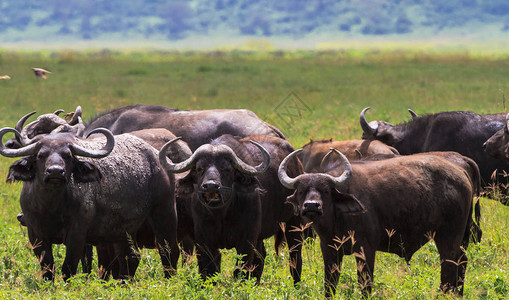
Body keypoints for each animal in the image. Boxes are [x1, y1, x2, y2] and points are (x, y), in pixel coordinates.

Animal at [0, 127, 179, 280]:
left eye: (68, 156)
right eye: (41, 155)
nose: (56, 171)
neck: (51, 208)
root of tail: (158, 158)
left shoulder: (77, 234)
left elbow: (69, 267)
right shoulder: (35, 235)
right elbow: (47, 268)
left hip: (164, 213)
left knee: (168, 251)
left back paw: (169, 280)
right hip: (125, 230)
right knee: (131, 257)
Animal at [159, 134, 304, 284]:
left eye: (226, 169)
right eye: (199, 168)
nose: (211, 186)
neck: (222, 214)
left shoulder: (247, 240)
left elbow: (241, 271)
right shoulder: (203, 241)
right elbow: (210, 271)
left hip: (294, 224)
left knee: (295, 257)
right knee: (261, 256)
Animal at [278, 148, 476, 296]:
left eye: (326, 190)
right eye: (301, 190)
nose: (312, 205)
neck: (337, 219)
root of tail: (459, 168)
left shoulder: (365, 249)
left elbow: (365, 285)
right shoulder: (329, 250)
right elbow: (330, 284)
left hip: (448, 237)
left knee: (448, 267)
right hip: (461, 238)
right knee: (462, 261)